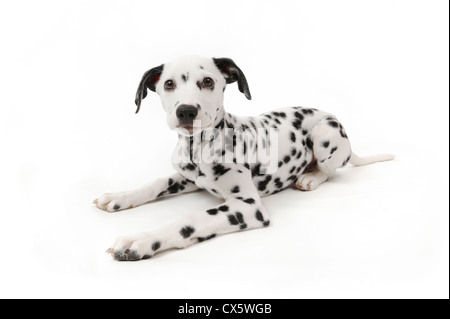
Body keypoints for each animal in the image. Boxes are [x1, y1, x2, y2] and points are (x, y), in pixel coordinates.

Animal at [93, 55, 392, 262]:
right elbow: (155, 183)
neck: (198, 148)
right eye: (169, 83)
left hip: (324, 135)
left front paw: (140, 240)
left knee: (330, 169)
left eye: (208, 81)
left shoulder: (246, 206)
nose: (186, 111)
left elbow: (188, 220)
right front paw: (119, 197)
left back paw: (309, 177)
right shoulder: (186, 177)